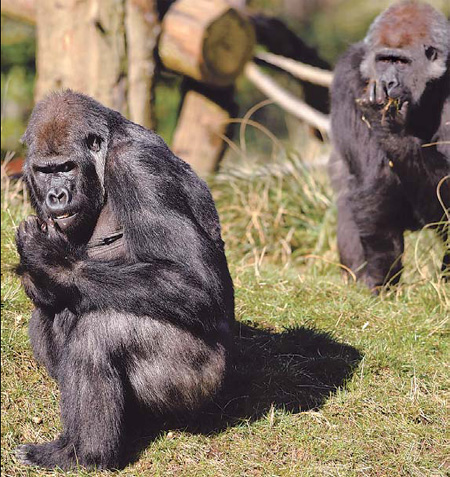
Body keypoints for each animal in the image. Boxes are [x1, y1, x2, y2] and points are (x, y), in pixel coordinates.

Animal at [14, 90, 236, 468]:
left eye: (66, 168)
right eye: (46, 171)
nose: (56, 196)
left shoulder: (138, 167)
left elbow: (198, 281)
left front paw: (56, 264)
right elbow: (48, 295)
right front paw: (42, 277)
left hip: (201, 383)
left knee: (99, 332)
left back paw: (83, 453)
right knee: (52, 312)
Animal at [328, 0, 448, 290]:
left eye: (401, 62)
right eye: (384, 60)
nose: (389, 82)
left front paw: (389, 128)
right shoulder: (350, 74)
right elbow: (373, 178)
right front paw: (379, 272)